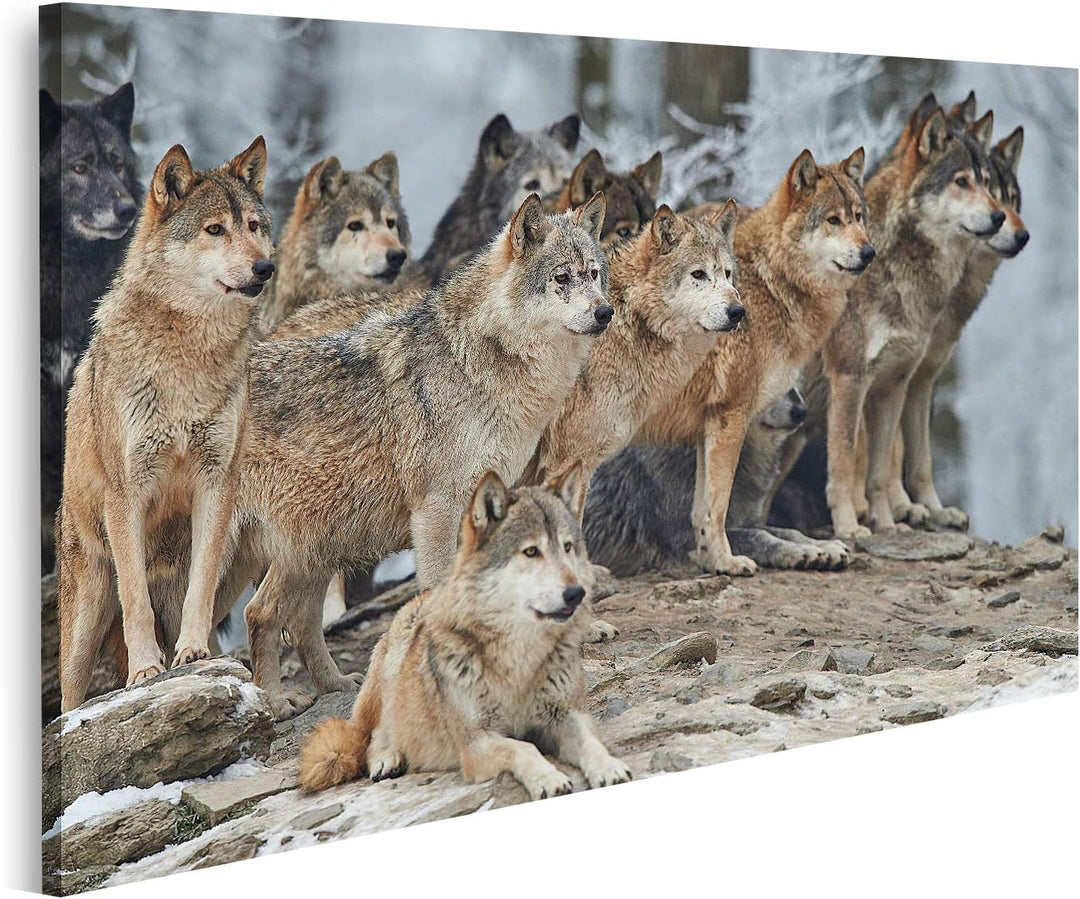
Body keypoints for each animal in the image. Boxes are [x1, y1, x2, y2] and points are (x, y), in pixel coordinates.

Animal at [58, 137, 274, 712]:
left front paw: (193, 653)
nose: (266, 267)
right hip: (84, 618)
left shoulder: (217, 481)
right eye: (214, 230)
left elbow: (202, 584)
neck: (187, 358)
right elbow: (136, 600)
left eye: (254, 225)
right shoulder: (126, 493)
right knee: (68, 701)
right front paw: (146, 671)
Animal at [298, 467, 631, 799]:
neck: (519, 658)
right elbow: (523, 748)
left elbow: (589, 741)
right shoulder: (476, 744)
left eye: (567, 547)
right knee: (374, 733)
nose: (576, 593)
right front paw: (549, 779)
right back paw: (387, 759)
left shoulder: (565, 716)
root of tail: (422, 597)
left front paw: (609, 768)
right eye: (531, 552)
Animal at [633, 147, 873, 576]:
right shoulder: (732, 415)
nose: (869, 252)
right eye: (833, 220)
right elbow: (718, 506)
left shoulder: (710, 422)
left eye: (859, 217)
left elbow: (706, 510)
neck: (772, 280)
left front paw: (711, 560)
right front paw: (726, 561)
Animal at [819, 107, 1004, 537]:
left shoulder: (905, 381)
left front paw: (893, 524)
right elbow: (847, 463)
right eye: (961, 181)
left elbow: (896, 466)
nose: (1000, 216)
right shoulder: (850, 380)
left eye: (989, 184)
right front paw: (850, 527)